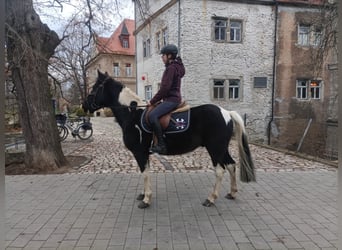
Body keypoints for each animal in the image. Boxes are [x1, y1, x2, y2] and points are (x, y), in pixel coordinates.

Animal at [82, 71, 254, 209]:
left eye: (95, 88)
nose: (84, 105)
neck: (132, 113)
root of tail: (227, 113)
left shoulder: (139, 152)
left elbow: (145, 173)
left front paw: (146, 199)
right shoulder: (144, 153)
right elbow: (145, 171)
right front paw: (144, 194)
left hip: (215, 149)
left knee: (220, 171)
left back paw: (211, 199)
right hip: (221, 148)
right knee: (231, 165)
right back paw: (232, 193)